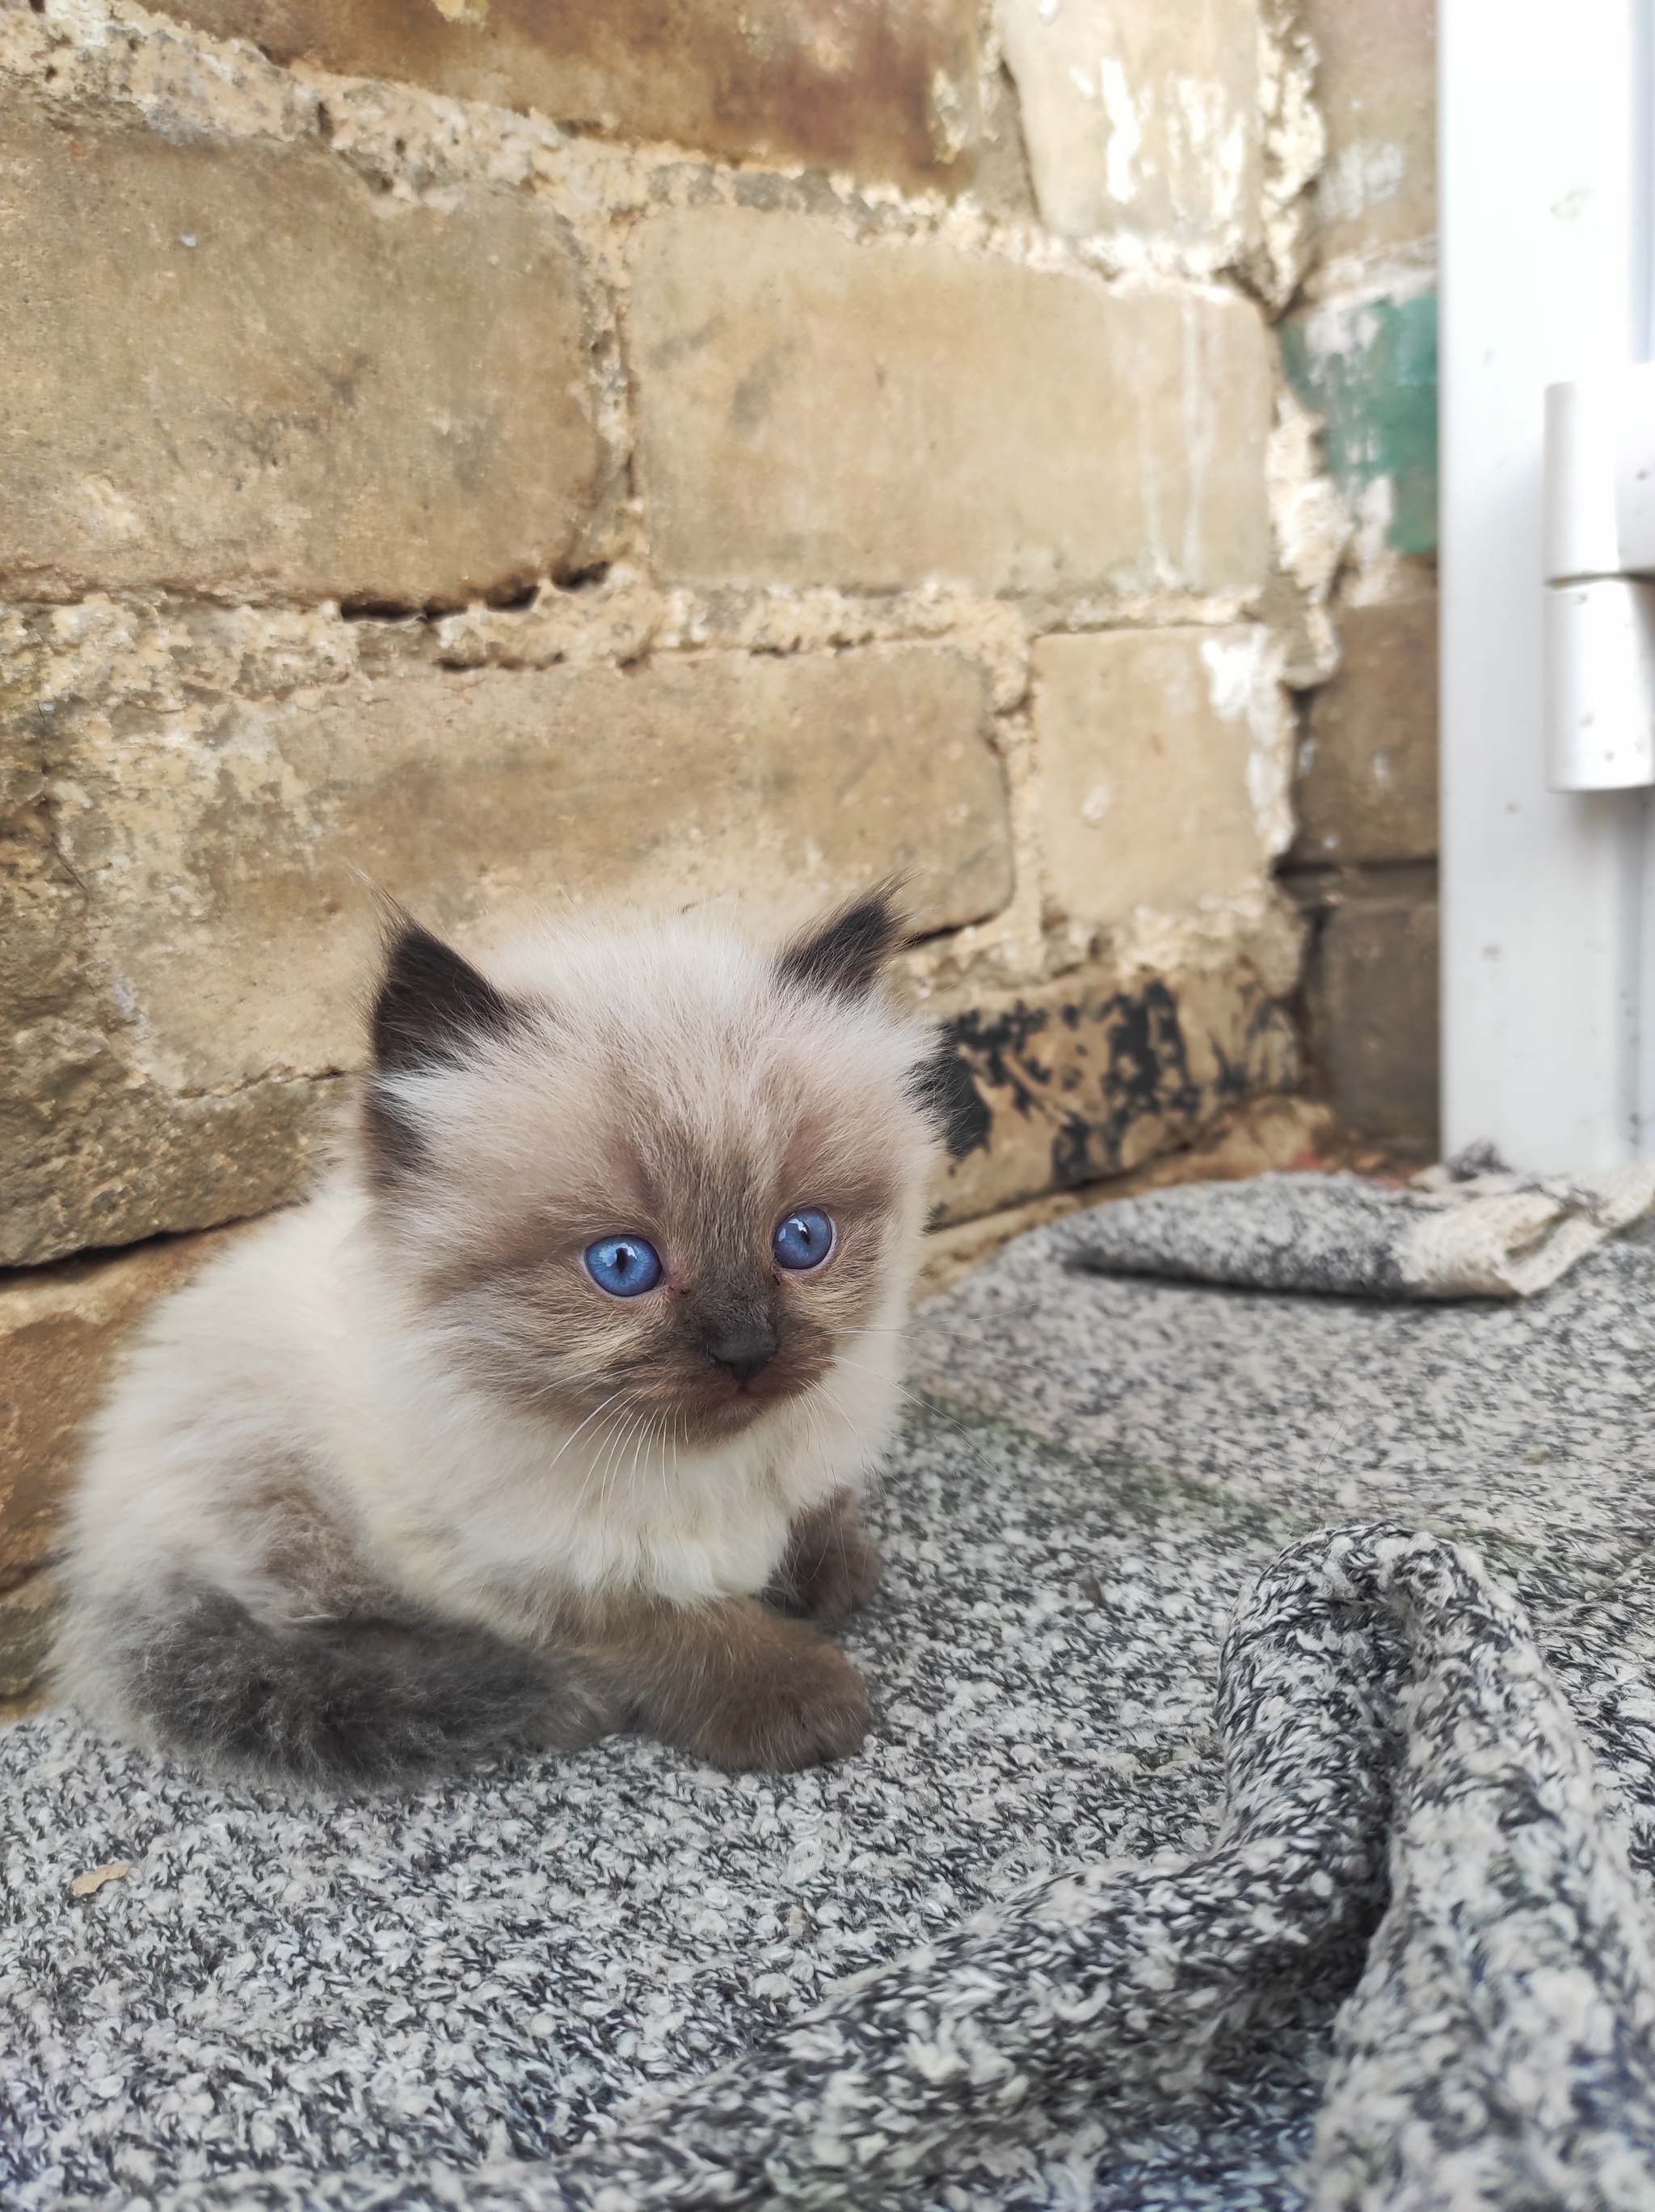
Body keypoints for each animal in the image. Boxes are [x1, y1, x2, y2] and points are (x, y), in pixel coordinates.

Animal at [57, 889, 978, 1787]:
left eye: (802, 1239)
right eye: (622, 1264)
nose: (746, 1352)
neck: (703, 1467)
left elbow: (818, 1510)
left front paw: (832, 1573)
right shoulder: (511, 1570)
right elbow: (673, 1625)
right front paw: (797, 1694)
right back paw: (540, 1701)